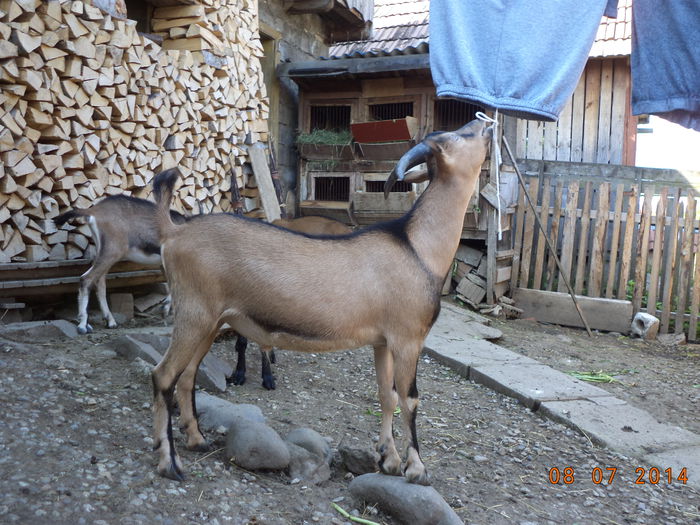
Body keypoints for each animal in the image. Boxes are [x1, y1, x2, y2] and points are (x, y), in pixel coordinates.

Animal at [151, 117, 494, 484]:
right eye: (456, 136)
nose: (484, 122)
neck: (417, 247)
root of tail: (173, 233)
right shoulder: (408, 337)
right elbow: (410, 398)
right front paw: (416, 468)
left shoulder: (383, 341)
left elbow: (386, 395)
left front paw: (387, 459)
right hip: (194, 311)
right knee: (164, 375)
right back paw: (169, 463)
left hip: (211, 320)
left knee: (187, 375)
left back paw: (196, 439)